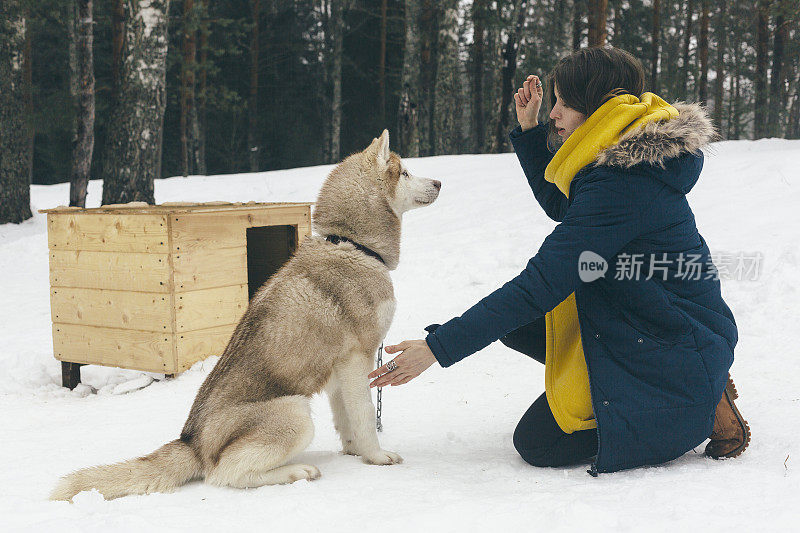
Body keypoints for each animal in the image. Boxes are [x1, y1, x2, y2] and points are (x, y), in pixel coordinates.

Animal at [53, 129, 440, 498]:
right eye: (406, 172)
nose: (439, 182)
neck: (353, 245)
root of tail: (191, 441)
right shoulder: (358, 360)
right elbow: (365, 419)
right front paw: (376, 456)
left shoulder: (337, 374)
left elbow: (347, 422)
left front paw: (353, 453)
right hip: (295, 413)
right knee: (224, 474)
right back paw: (297, 472)